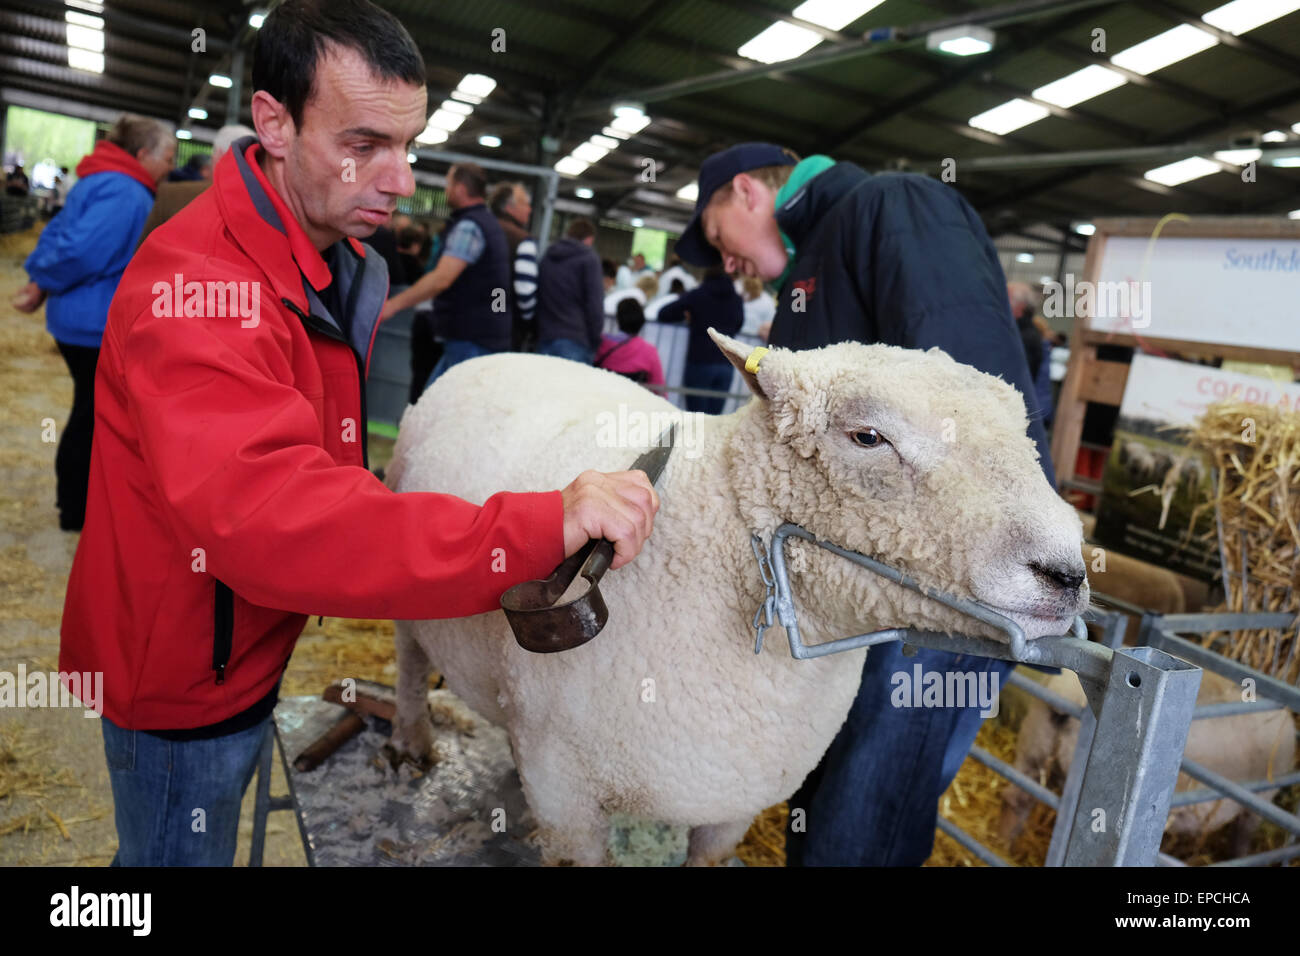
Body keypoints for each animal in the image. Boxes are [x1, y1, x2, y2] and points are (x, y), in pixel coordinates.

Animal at [382, 329, 1086, 868]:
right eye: (867, 437)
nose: (1067, 573)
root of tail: (498, 353)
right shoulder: (567, 797)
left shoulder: (733, 804)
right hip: (414, 608)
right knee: (410, 662)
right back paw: (413, 741)